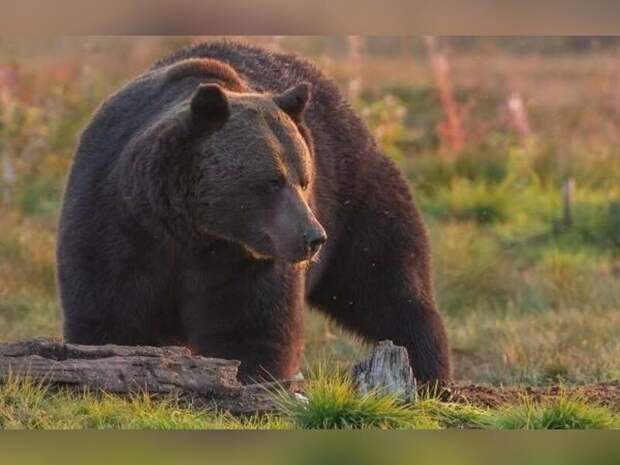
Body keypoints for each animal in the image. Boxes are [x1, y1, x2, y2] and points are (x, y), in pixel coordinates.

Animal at [57, 40, 450, 382]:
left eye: (304, 179)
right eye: (273, 180)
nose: (313, 238)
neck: (190, 233)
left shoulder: (243, 262)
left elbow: (249, 328)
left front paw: (251, 377)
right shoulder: (118, 230)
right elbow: (110, 318)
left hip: (354, 195)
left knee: (389, 283)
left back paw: (431, 372)